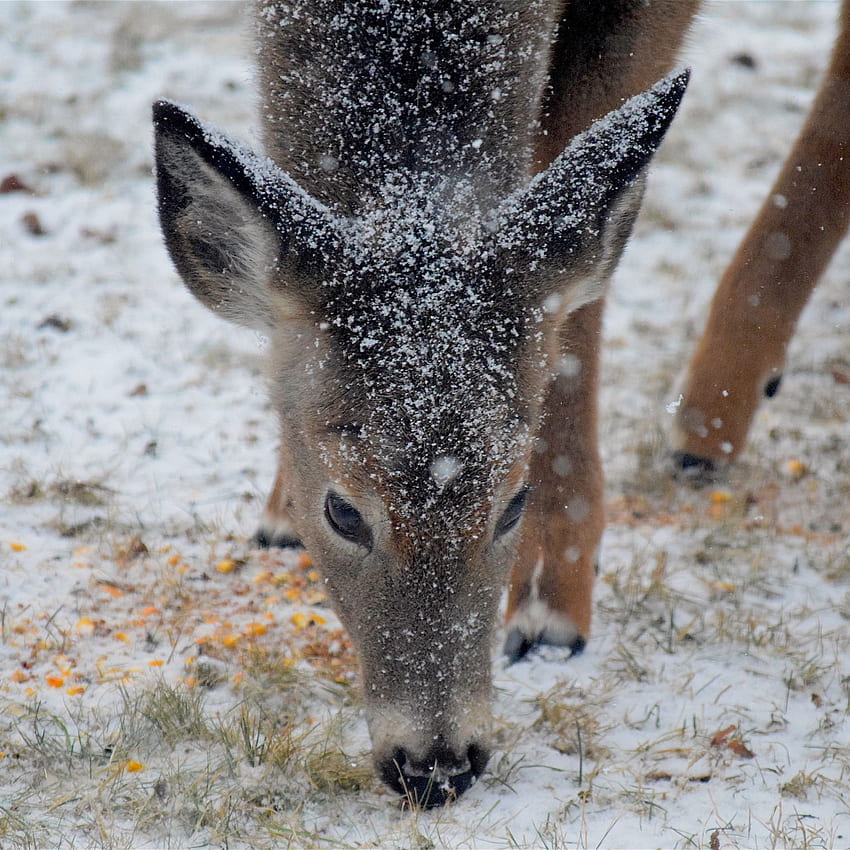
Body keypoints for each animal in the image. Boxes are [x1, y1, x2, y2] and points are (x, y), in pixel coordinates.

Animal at [152, 0, 848, 804]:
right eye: (342, 510)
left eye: (514, 501)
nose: (439, 766)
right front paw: (277, 504)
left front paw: (553, 597)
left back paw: (708, 419)